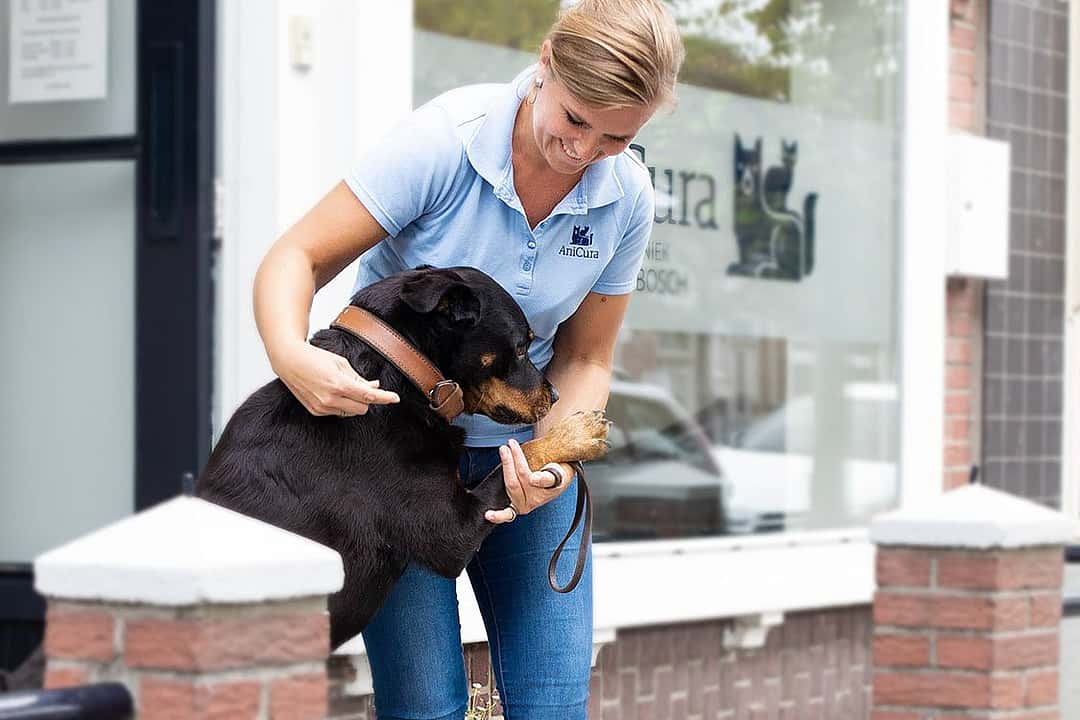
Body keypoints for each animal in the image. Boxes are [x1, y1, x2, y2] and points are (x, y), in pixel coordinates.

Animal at [196, 267, 609, 651]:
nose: (555, 395)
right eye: (521, 348)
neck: (399, 372)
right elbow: (519, 454)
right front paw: (577, 433)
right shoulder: (453, 531)